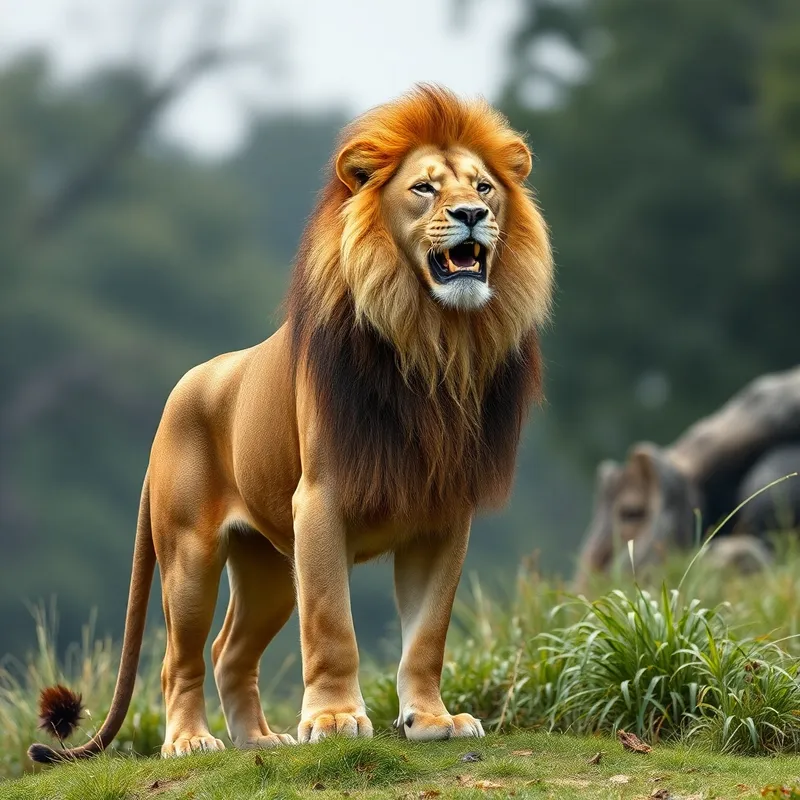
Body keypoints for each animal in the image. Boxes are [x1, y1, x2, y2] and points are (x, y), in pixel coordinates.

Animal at [29, 85, 553, 762]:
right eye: (424, 189)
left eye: (484, 186)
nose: (471, 214)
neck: (434, 341)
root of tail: (178, 394)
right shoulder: (321, 502)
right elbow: (332, 627)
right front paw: (334, 720)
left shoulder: (442, 515)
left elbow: (427, 635)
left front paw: (432, 720)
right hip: (190, 556)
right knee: (180, 660)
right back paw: (191, 741)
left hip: (269, 569)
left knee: (229, 652)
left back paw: (260, 740)